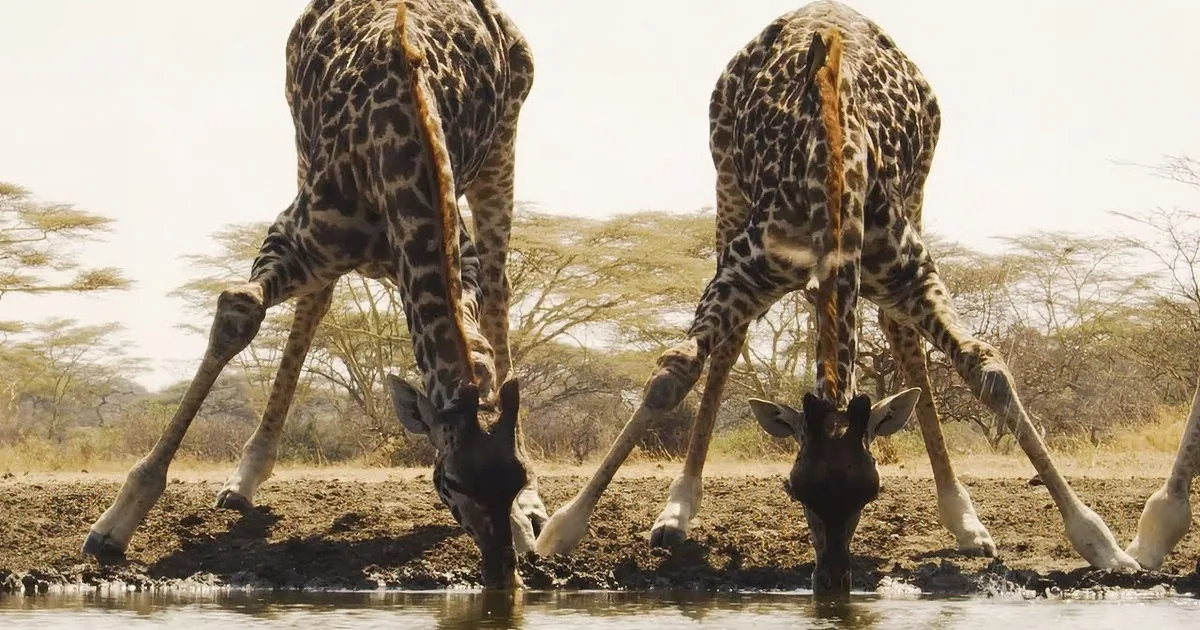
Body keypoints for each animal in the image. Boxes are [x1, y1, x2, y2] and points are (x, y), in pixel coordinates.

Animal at [80, 0, 549, 588]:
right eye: (451, 482)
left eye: (517, 476)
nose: (502, 574)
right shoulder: (296, 237)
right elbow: (239, 309)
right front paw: (115, 523)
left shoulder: (456, 261)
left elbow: (481, 351)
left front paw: (526, 515)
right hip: (303, 152)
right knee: (317, 299)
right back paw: (245, 478)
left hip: (504, 143)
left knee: (498, 286)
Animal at [535, 0, 1141, 593]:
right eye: (793, 489)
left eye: (871, 490)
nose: (831, 583)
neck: (831, 170)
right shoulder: (744, 271)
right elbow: (674, 372)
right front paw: (561, 529)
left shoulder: (910, 271)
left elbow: (986, 369)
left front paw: (1104, 544)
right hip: (726, 190)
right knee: (728, 347)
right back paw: (677, 511)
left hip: (916, 196)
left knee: (902, 338)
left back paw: (964, 519)